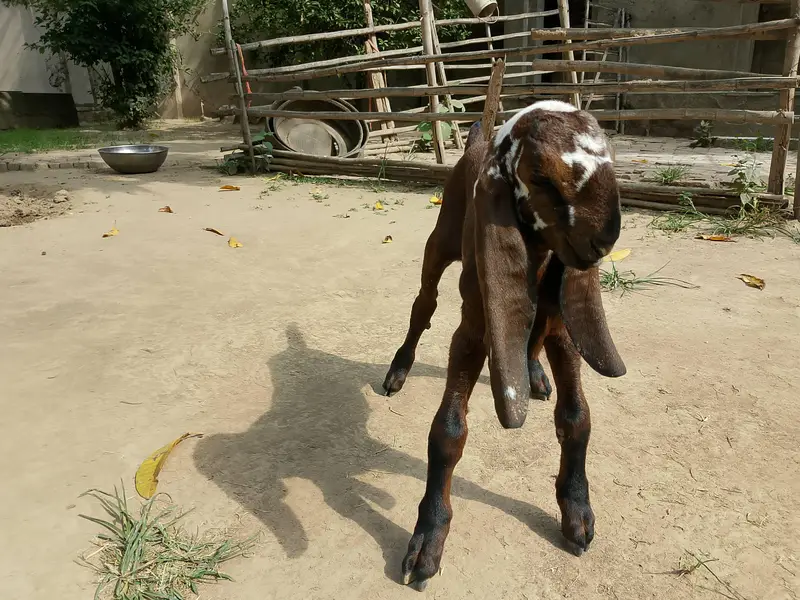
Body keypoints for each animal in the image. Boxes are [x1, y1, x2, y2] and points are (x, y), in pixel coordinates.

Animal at [383, 100, 627, 588]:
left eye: (610, 159)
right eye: (541, 176)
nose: (606, 235)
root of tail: (475, 141)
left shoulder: (563, 326)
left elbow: (576, 416)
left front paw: (576, 510)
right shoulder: (472, 329)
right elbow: (448, 432)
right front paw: (428, 538)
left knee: (529, 337)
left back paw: (532, 374)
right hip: (440, 240)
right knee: (424, 303)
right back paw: (399, 368)